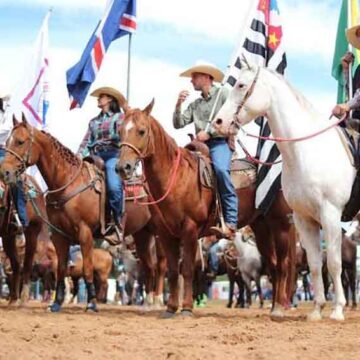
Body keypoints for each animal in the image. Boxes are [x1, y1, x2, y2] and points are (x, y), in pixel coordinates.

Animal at [0, 174, 46, 304]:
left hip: (32, 232)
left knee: (27, 264)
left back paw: (23, 298)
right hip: (8, 236)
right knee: (16, 264)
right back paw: (13, 299)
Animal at [116, 101, 294, 318]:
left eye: (141, 131)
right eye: (120, 131)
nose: (122, 167)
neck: (176, 178)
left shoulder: (190, 230)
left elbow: (186, 271)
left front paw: (186, 308)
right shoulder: (166, 234)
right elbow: (173, 272)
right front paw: (170, 308)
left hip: (281, 225)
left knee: (283, 265)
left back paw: (279, 308)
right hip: (261, 229)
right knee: (274, 265)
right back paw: (274, 306)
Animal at [212, 61, 356, 320]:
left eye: (241, 85)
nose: (218, 122)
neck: (307, 152)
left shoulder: (330, 214)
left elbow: (333, 263)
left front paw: (337, 309)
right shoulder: (303, 218)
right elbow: (316, 264)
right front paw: (317, 309)